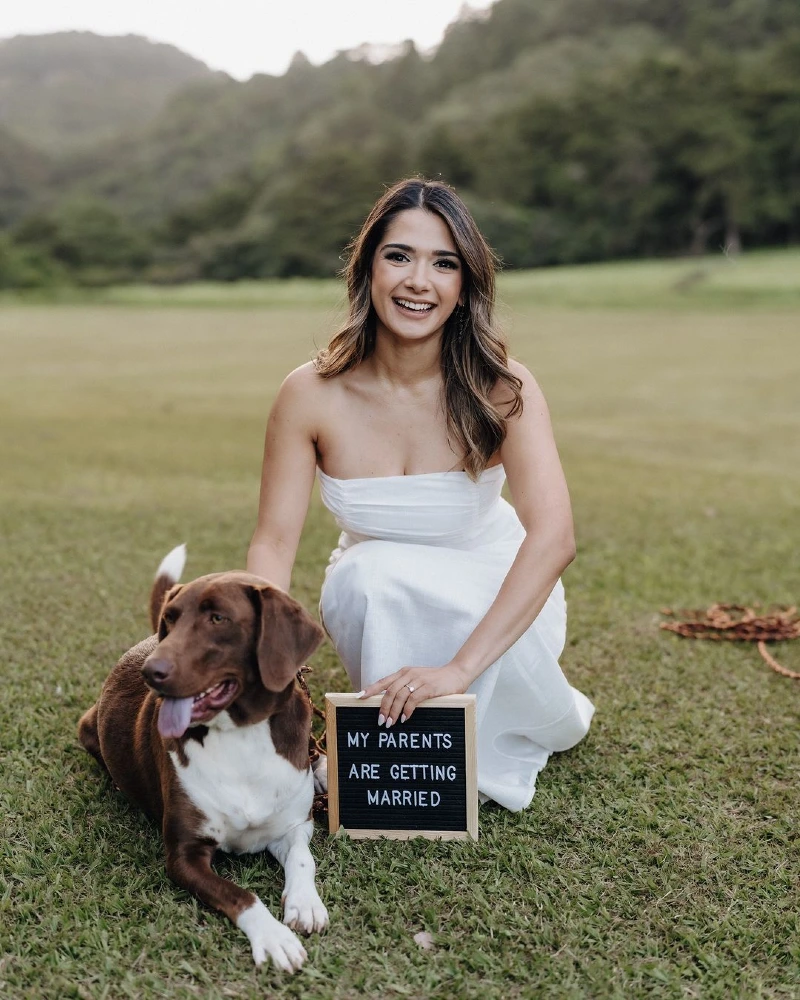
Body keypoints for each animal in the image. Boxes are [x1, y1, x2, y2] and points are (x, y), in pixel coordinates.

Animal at [79, 544, 330, 972]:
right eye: (171, 618)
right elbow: (241, 895)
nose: (151, 672)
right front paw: (274, 937)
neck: (240, 734)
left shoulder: (293, 825)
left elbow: (303, 859)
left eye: (218, 618)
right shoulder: (185, 854)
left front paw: (305, 904)